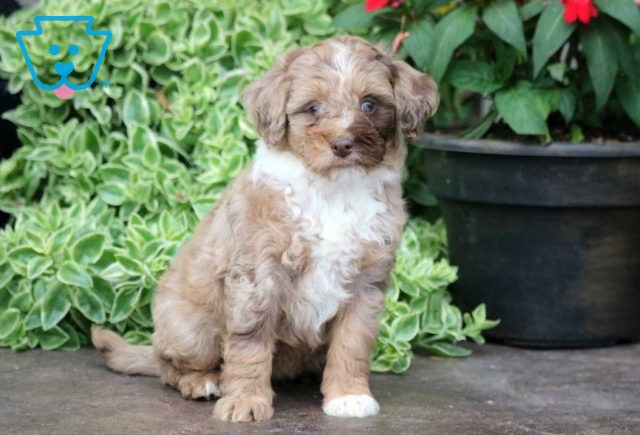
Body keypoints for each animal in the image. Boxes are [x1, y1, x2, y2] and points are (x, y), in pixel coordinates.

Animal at [91, 35, 440, 424]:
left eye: (369, 104)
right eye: (312, 109)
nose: (342, 145)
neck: (333, 189)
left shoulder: (366, 281)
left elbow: (353, 342)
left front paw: (349, 395)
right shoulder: (258, 274)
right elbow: (249, 342)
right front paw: (244, 401)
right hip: (190, 331)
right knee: (169, 365)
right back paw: (202, 381)